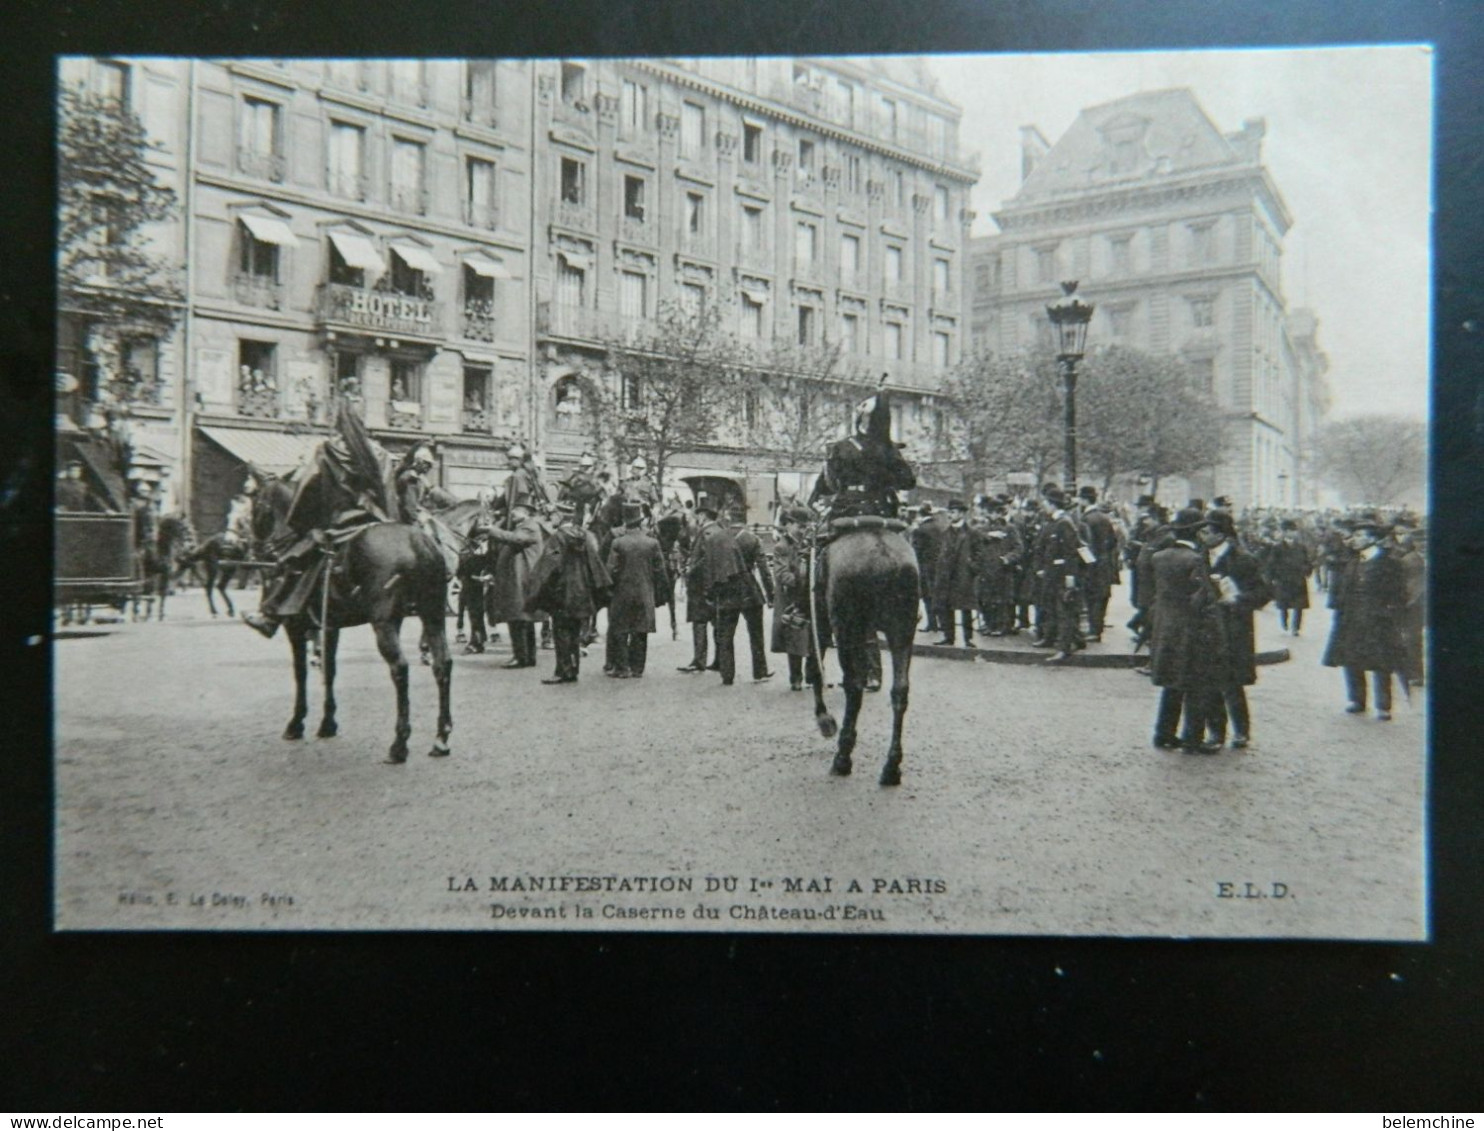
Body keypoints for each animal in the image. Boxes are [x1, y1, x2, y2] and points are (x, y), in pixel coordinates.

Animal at [252, 471, 454, 759]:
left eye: (255, 503)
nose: (256, 548)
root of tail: (418, 541)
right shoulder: (329, 627)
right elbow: (329, 670)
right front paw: (327, 723)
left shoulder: (296, 626)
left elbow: (300, 673)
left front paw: (296, 723)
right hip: (433, 614)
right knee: (442, 664)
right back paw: (441, 738)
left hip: (384, 623)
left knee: (400, 668)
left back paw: (399, 744)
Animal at [813, 522, 914, 777]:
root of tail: (885, 555)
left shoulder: (820, 619)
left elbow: (815, 666)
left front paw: (824, 718)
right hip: (902, 631)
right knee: (900, 691)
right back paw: (892, 765)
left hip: (848, 630)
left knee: (854, 686)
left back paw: (843, 756)